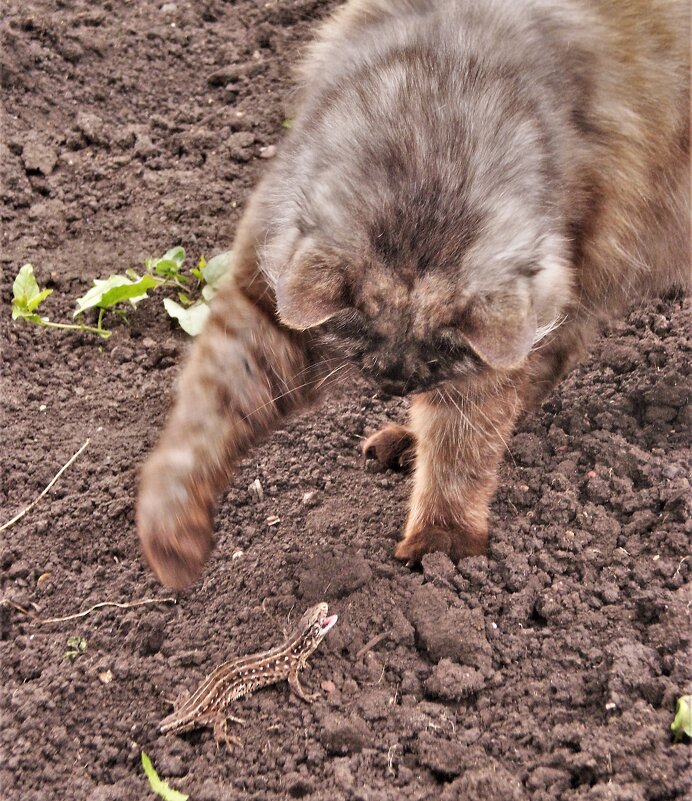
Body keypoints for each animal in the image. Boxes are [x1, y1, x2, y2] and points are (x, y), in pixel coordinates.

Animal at [138, 0, 688, 588]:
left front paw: (443, 540)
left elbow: (460, 451)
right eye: (361, 338)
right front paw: (173, 536)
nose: (394, 381)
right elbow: (203, 421)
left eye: (439, 356)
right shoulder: (262, 303)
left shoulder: (485, 363)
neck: (437, 121)